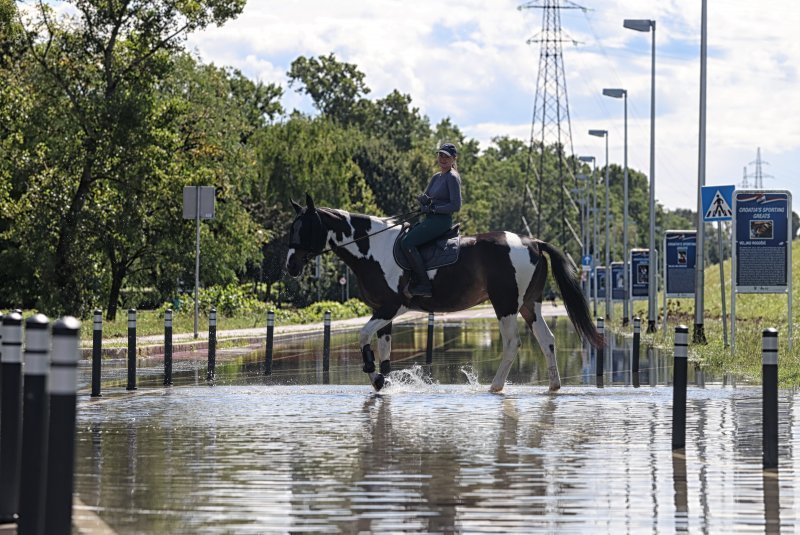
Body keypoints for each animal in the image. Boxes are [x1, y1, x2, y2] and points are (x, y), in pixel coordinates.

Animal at [284, 195, 604, 392]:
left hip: (505, 304)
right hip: (529, 304)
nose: (290, 266)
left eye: (305, 228)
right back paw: (553, 385)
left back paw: (495, 386)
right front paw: (382, 379)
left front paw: (374, 374)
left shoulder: (391, 306)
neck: (373, 248)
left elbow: (363, 336)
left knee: (513, 343)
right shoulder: (382, 311)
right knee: (546, 340)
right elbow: (384, 348)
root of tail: (533, 242)